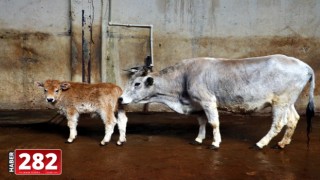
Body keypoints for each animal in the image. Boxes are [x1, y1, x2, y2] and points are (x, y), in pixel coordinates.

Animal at [119, 54, 316, 150]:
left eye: (137, 84)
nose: (120, 98)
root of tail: (305, 65)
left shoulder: (207, 100)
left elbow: (213, 122)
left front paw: (215, 143)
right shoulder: (197, 103)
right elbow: (201, 121)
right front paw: (198, 139)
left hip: (280, 102)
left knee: (278, 123)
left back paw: (260, 144)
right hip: (288, 102)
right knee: (293, 119)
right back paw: (282, 144)